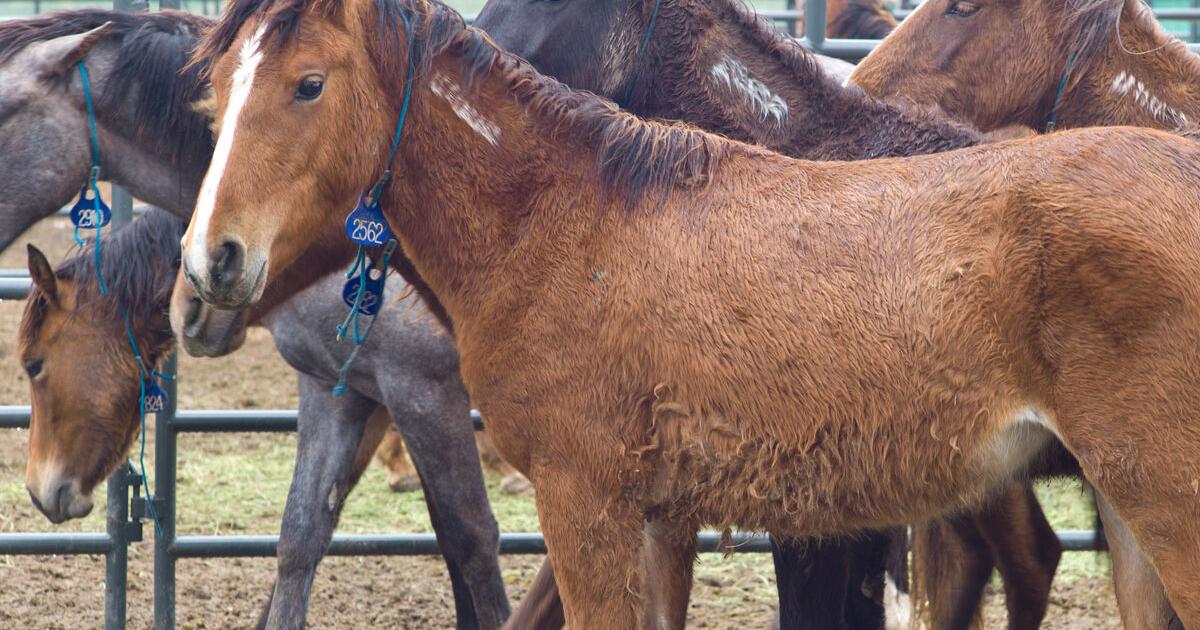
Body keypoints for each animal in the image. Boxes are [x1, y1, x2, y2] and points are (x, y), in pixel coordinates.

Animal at [0, 12, 512, 628]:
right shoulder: (342, 388)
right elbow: (303, 534)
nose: (39, 489)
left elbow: (470, 540)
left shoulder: (423, 389)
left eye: (34, 364)